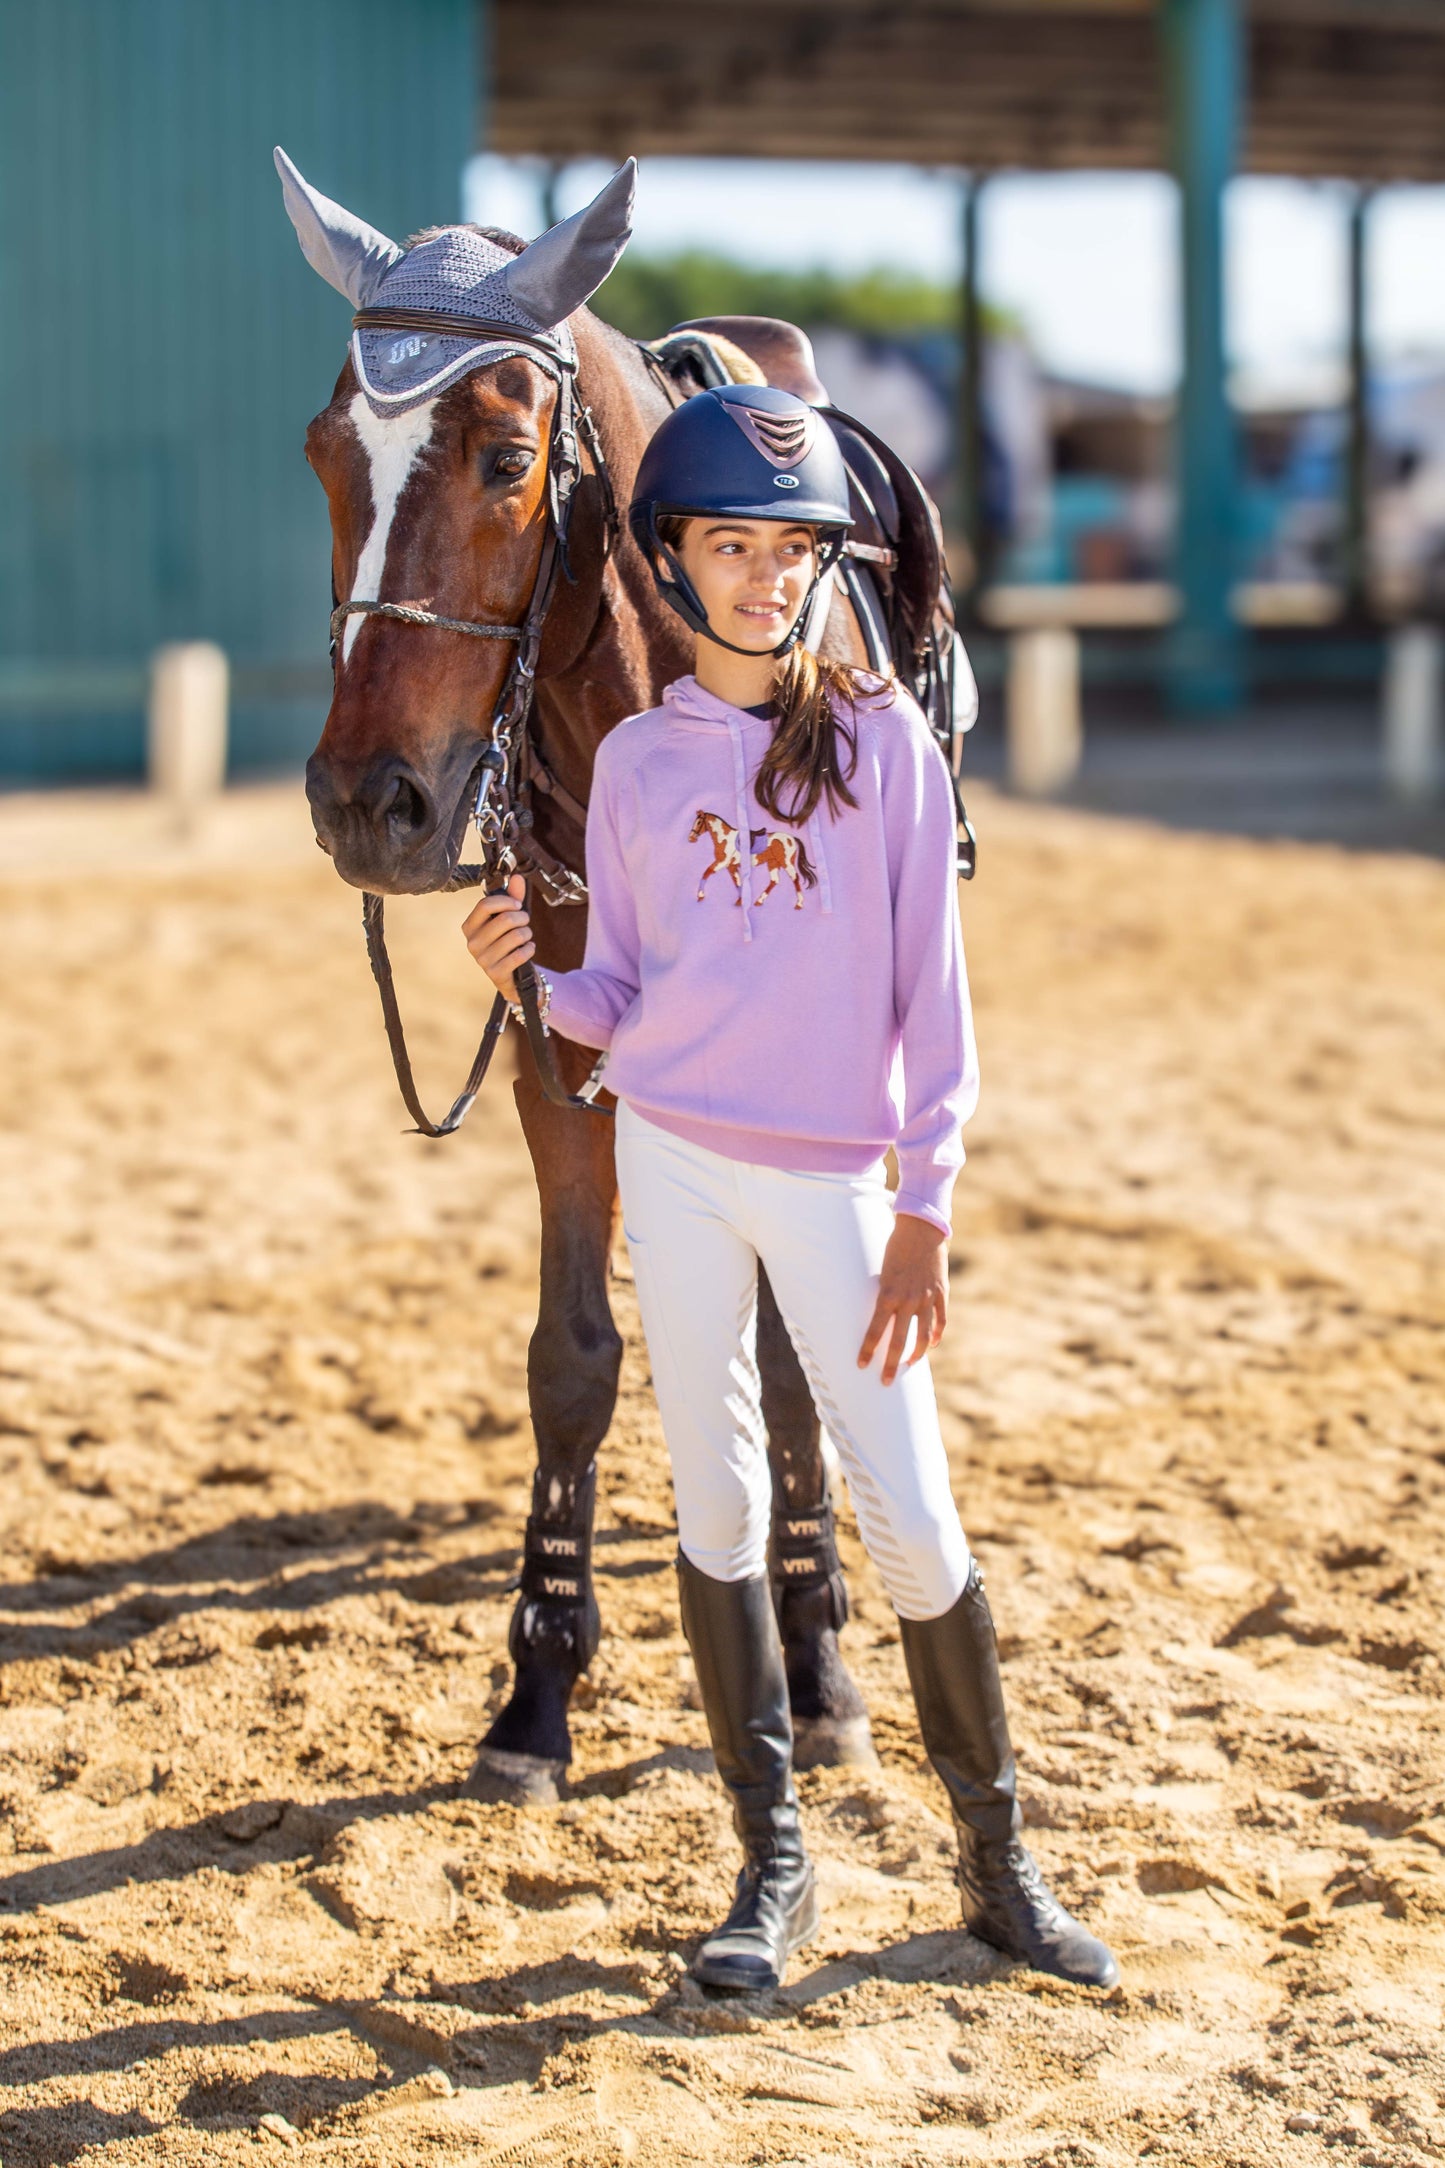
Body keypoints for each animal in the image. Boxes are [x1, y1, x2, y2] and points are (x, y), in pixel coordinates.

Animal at [277, 155, 875, 1803]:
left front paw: (814, 1649)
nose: (370, 804)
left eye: (503, 458)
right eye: (323, 457)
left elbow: (787, 1356)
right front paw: (536, 1686)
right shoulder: (559, 1063)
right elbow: (573, 1357)